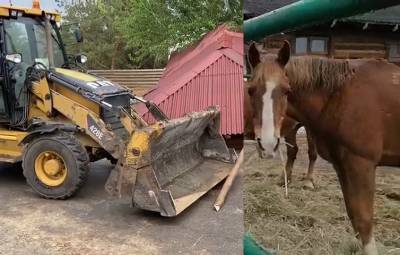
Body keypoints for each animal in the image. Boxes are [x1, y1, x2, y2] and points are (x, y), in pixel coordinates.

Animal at [247, 40, 400, 254]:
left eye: (287, 90)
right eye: (250, 90)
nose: (268, 143)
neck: (341, 95)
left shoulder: (362, 164)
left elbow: (364, 220)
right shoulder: (342, 165)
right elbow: (353, 214)